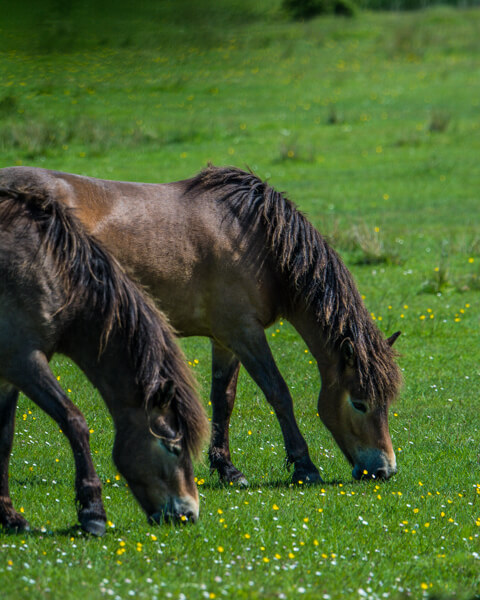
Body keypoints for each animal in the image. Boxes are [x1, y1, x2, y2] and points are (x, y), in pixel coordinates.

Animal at [0, 164, 404, 488]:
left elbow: (223, 399)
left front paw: (227, 469)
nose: (384, 470)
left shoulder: (226, 339)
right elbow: (278, 393)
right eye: (359, 402)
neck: (255, 238)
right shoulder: (245, 333)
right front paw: (304, 466)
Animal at [0, 184, 208, 536]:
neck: (45, 265)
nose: (189, 513)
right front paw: (93, 512)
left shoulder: (8, 376)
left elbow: (4, 437)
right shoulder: (24, 362)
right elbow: (74, 421)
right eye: (174, 447)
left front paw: (9, 516)